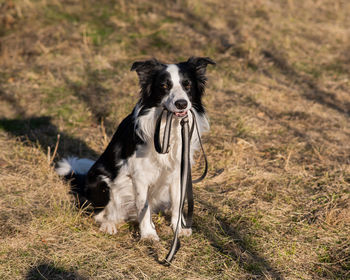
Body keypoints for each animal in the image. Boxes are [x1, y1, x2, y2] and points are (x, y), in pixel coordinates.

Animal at [56, 57, 215, 241]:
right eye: (164, 86)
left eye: (187, 85)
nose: (181, 104)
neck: (168, 126)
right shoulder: (140, 175)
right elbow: (143, 206)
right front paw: (148, 235)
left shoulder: (178, 170)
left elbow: (177, 202)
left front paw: (179, 228)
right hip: (100, 182)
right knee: (99, 213)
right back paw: (109, 225)